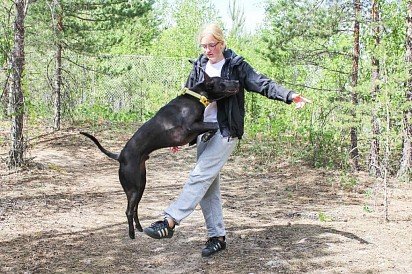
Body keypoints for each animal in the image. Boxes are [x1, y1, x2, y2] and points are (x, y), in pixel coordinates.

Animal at [80, 74, 238, 239]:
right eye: (223, 80)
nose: (237, 81)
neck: (196, 96)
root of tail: (120, 156)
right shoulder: (189, 128)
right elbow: (215, 124)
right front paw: (214, 132)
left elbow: (212, 126)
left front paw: (208, 135)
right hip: (133, 187)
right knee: (129, 210)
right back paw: (131, 233)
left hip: (140, 185)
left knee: (135, 208)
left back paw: (139, 227)